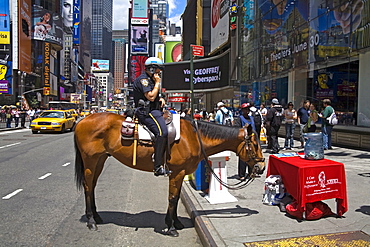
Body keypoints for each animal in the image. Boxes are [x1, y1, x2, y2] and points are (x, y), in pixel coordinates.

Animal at [74, 112, 266, 235]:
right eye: (255, 144)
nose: (262, 167)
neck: (194, 136)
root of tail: (82, 120)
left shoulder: (179, 173)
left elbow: (176, 196)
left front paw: (176, 222)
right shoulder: (177, 172)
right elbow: (173, 198)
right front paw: (171, 226)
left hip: (100, 159)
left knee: (92, 186)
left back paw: (97, 216)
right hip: (90, 161)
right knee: (87, 186)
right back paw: (91, 221)